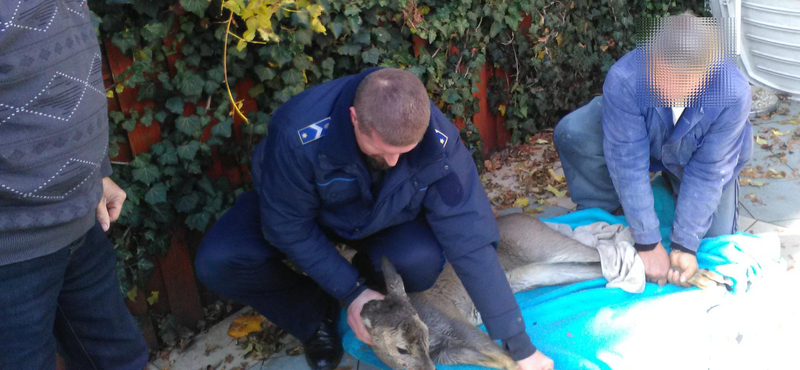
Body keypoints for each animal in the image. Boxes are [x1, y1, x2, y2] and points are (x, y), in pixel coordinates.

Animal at [358, 212, 724, 370]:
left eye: (420, 333)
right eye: (401, 349)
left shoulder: (458, 326)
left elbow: (511, 358)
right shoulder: (452, 353)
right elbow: (504, 363)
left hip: (540, 247)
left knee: (618, 252)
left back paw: (701, 275)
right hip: (533, 274)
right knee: (604, 265)